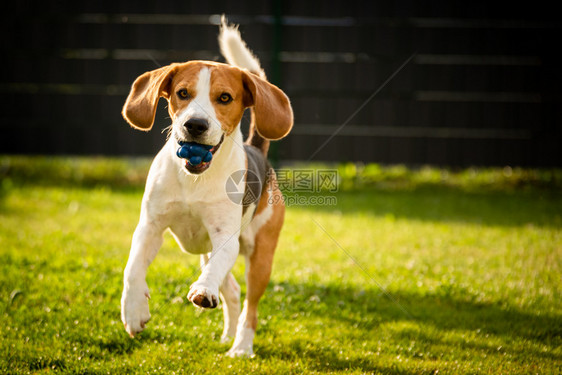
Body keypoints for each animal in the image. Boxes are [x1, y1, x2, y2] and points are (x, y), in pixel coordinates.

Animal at [118, 18, 294, 358]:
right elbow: (133, 269)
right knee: (234, 291)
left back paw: (241, 346)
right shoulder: (149, 227)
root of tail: (257, 150)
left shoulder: (225, 237)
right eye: (182, 93)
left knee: (250, 305)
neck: (194, 180)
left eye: (224, 98)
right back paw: (227, 336)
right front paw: (133, 312)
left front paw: (203, 290)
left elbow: (213, 276)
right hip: (207, 252)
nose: (195, 125)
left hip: (260, 256)